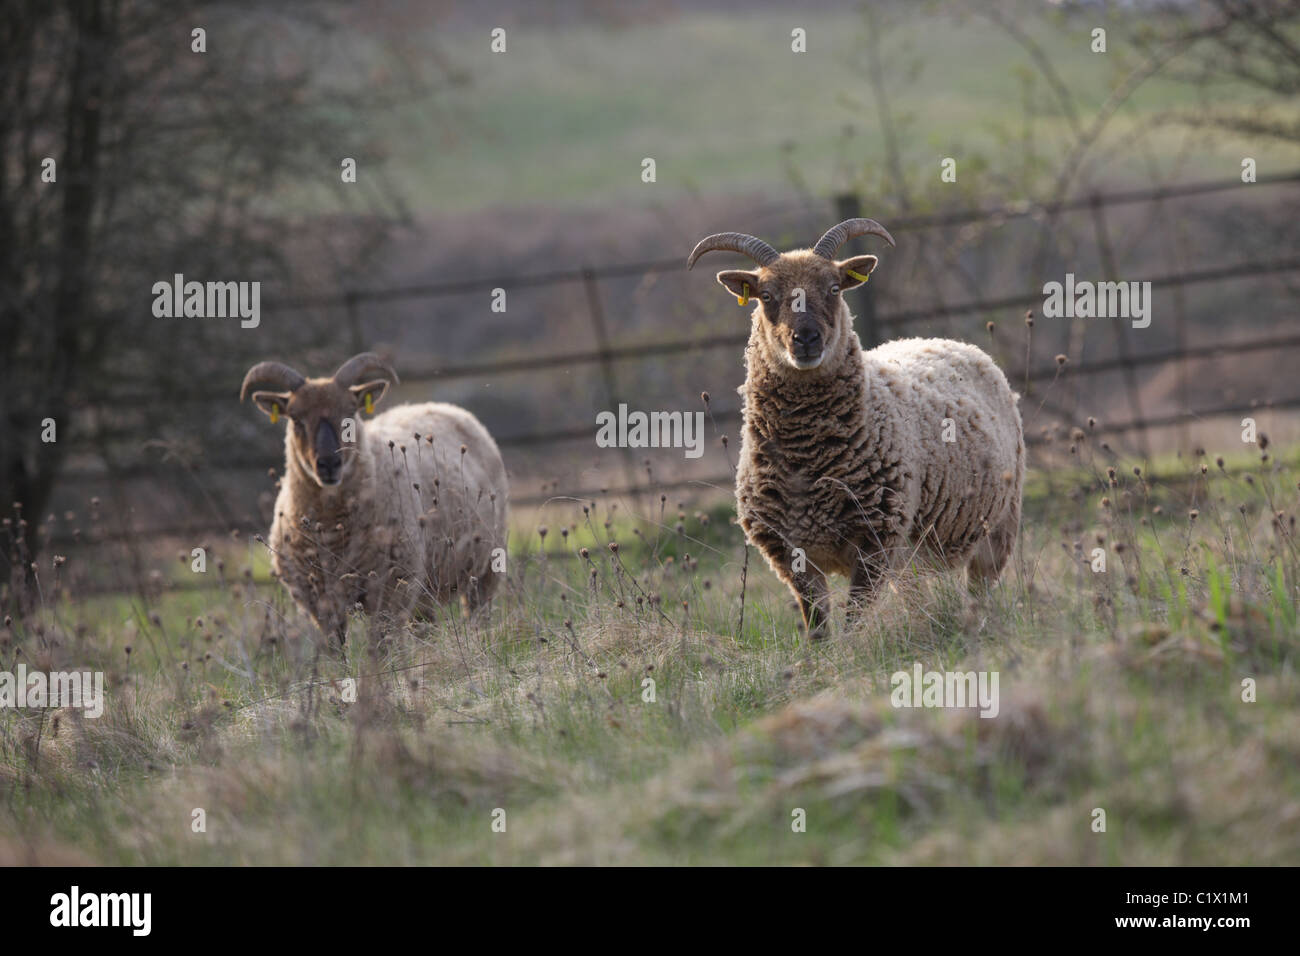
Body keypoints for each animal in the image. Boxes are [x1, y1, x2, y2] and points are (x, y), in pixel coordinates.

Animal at [239, 356, 506, 647]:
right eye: (295, 418)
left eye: (351, 410)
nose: (329, 464)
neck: (332, 528)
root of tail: (442, 406)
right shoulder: (319, 603)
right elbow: (336, 650)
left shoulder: (390, 590)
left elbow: (382, 646)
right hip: (425, 589)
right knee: (426, 626)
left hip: (486, 566)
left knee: (478, 613)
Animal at [691, 221, 1024, 639]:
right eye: (766, 295)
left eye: (834, 288)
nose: (807, 339)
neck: (807, 459)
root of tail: (946, 341)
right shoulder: (792, 555)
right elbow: (817, 626)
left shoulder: (874, 543)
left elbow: (853, 622)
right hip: (914, 556)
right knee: (920, 598)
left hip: (998, 526)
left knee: (979, 594)